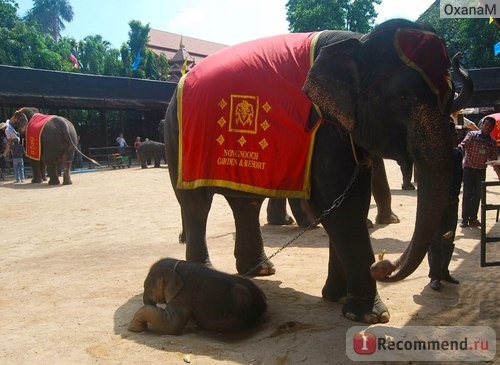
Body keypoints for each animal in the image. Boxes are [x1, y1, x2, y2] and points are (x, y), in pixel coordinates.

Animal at [129, 256, 270, 332]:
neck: (176, 265)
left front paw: (134, 328)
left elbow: (172, 325)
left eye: (148, 289)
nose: (149, 301)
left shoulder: (183, 296)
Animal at [164, 19, 472, 322]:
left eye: (450, 97)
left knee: (246, 202)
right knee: (196, 204)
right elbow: (337, 203)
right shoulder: (324, 129)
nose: (381, 265)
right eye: (404, 97)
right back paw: (202, 271)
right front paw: (369, 315)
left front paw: (337, 298)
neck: (360, 40)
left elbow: (353, 200)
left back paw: (261, 270)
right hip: (179, 139)